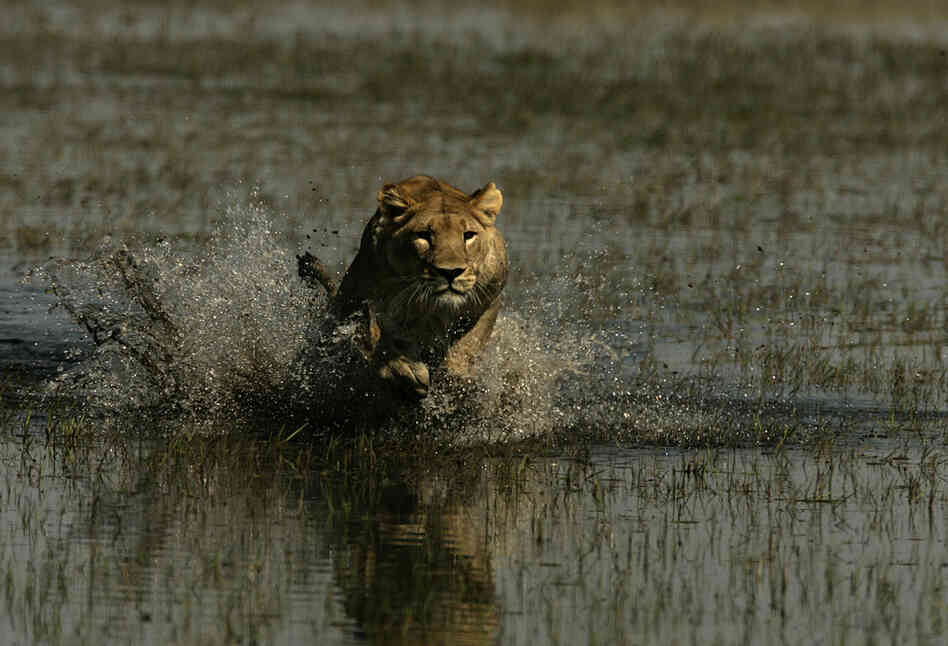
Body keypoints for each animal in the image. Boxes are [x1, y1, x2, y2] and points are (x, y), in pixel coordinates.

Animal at [299, 175, 507, 400]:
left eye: (468, 235)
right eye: (424, 236)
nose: (450, 272)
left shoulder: (489, 298)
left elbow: (469, 343)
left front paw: (453, 379)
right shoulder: (361, 301)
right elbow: (376, 339)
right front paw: (407, 369)